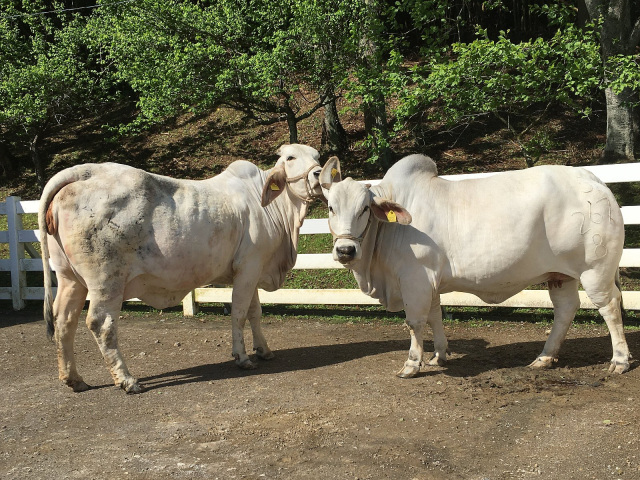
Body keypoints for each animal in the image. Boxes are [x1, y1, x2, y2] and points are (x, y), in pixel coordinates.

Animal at [37, 144, 322, 392]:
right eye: (290, 158)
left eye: (317, 156)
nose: (319, 173)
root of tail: (86, 172)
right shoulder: (249, 267)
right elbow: (240, 314)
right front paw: (242, 357)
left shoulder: (251, 270)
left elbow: (255, 313)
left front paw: (264, 350)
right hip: (106, 280)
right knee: (101, 323)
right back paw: (127, 380)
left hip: (69, 278)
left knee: (64, 320)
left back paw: (73, 378)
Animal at [320, 154, 632, 378]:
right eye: (330, 208)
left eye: (364, 209)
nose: (345, 250)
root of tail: (592, 178)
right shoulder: (430, 282)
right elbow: (435, 316)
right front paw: (438, 356)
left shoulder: (414, 278)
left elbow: (415, 322)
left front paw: (411, 364)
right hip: (560, 274)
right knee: (566, 309)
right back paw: (544, 358)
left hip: (595, 270)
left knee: (609, 307)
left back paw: (619, 361)